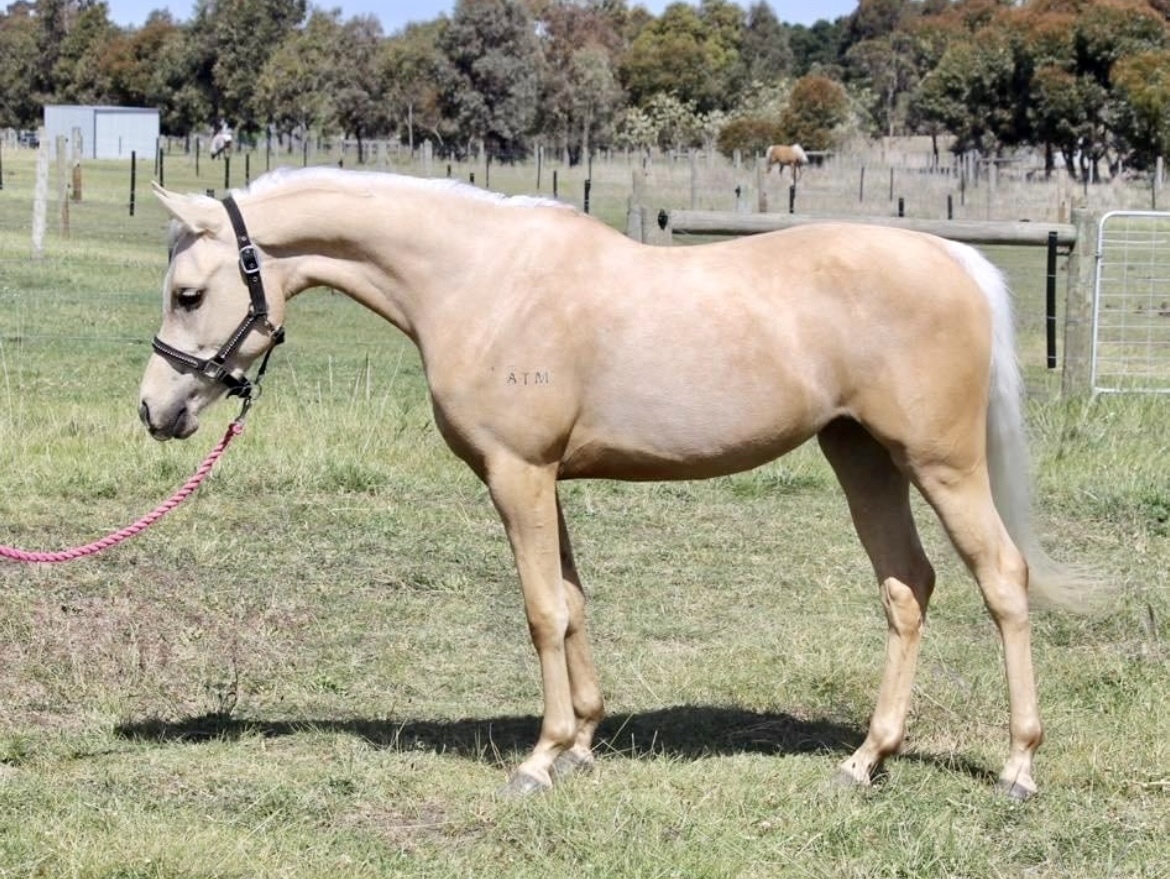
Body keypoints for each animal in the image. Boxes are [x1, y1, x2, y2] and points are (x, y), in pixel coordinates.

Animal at [139, 166, 1095, 800]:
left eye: (188, 293)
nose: (155, 410)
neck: (480, 280)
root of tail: (954, 259)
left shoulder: (517, 474)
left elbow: (540, 611)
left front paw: (541, 756)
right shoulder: (544, 478)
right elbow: (572, 600)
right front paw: (585, 742)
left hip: (940, 463)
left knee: (1001, 579)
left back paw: (1018, 764)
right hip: (860, 455)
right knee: (907, 587)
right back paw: (867, 758)